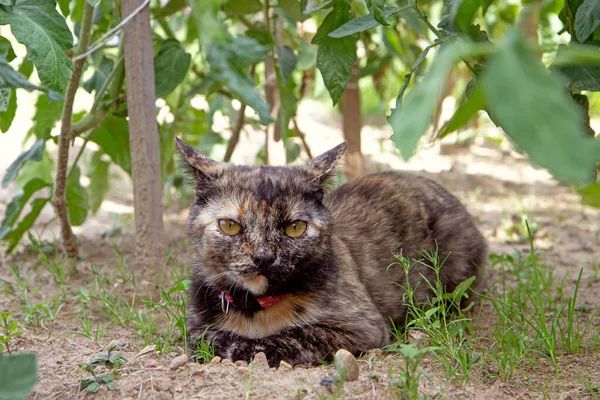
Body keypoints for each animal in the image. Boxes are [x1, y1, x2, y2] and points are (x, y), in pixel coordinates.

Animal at [175, 138, 488, 368]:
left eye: (295, 228)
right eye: (229, 225)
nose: (264, 258)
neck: (255, 310)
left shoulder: (364, 326)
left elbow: (294, 335)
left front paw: (242, 345)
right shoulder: (195, 321)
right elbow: (199, 337)